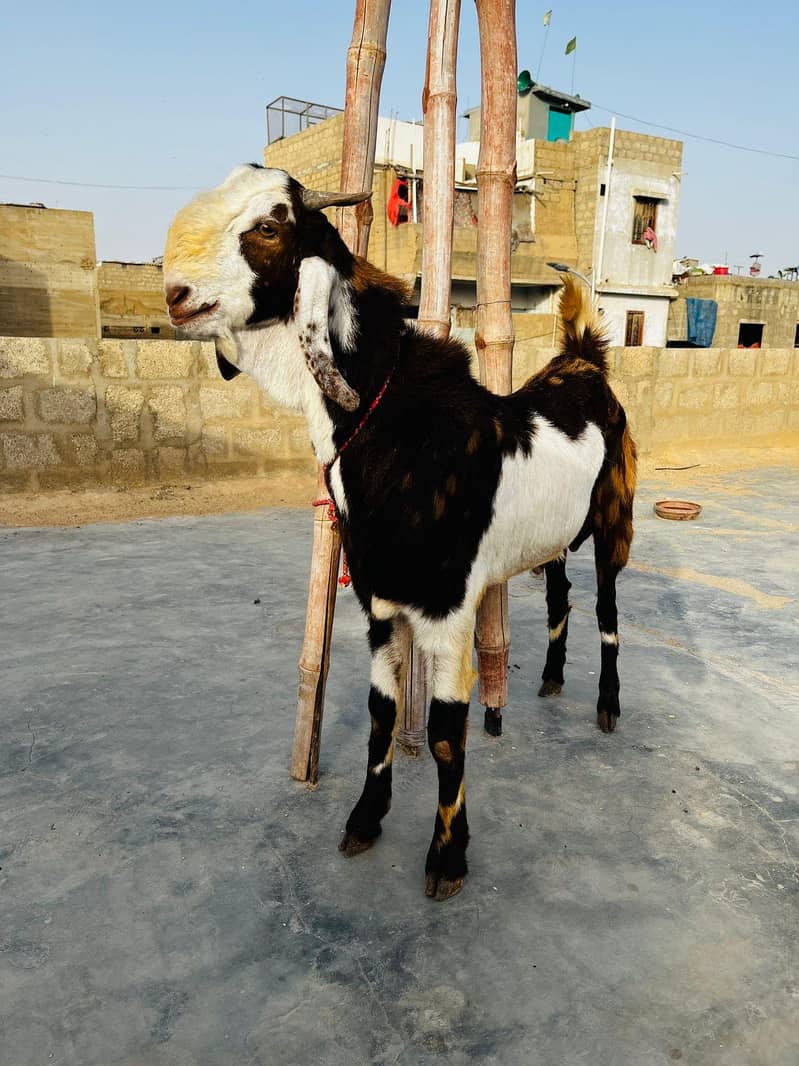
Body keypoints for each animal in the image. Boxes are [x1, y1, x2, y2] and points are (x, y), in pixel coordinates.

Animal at [163, 165, 637, 901]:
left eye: (268, 227)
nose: (175, 296)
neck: (394, 425)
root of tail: (584, 362)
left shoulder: (447, 612)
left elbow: (444, 734)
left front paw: (448, 858)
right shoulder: (382, 604)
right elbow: (381, 712)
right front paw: (365, 819)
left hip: (615, 519)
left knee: (610, 612)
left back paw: (607, 707)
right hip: (550, 541)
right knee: (560, 596)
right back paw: (552, 680)